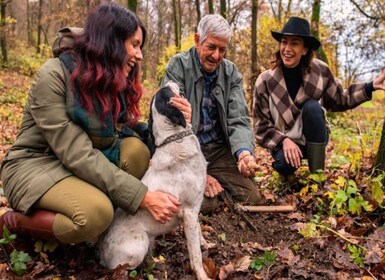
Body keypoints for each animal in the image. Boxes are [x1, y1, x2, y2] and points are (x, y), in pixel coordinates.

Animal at [96, 83, 210, 280]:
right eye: (166, 92)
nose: (167, 81)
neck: (175, 139)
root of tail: (102, 251)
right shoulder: (189, 212)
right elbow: (196, 256)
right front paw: (202, 275)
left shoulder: (195, 210)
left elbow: (199, 230)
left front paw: (204, 243)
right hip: (138, 244)